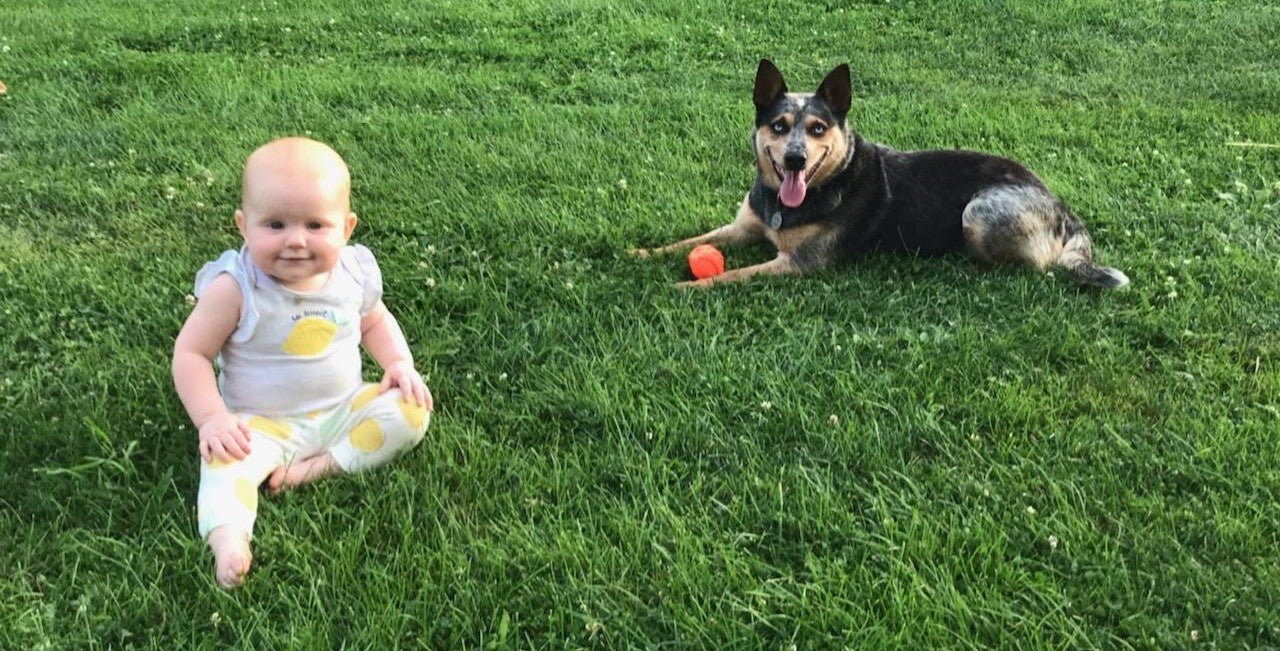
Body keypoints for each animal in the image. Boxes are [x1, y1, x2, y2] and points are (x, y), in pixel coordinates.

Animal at [632, 60, 1131, 289]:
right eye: (779, 125)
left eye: (818, 128)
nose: (794, 160)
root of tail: (1063, 208)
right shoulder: (744, 224)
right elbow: (691, 240)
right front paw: (641, 253)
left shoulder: (795, 265)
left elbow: (728, 276)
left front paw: (682, 286)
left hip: (979, 211)